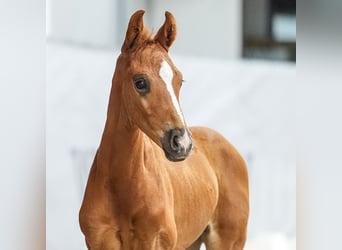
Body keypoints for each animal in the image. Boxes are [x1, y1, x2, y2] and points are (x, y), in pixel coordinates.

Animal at [79, 9, 248, 248]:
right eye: (140, 82)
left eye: (179, 80)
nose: (182, 143)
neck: (122, 186)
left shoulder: (155, 240)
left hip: (228, 240)